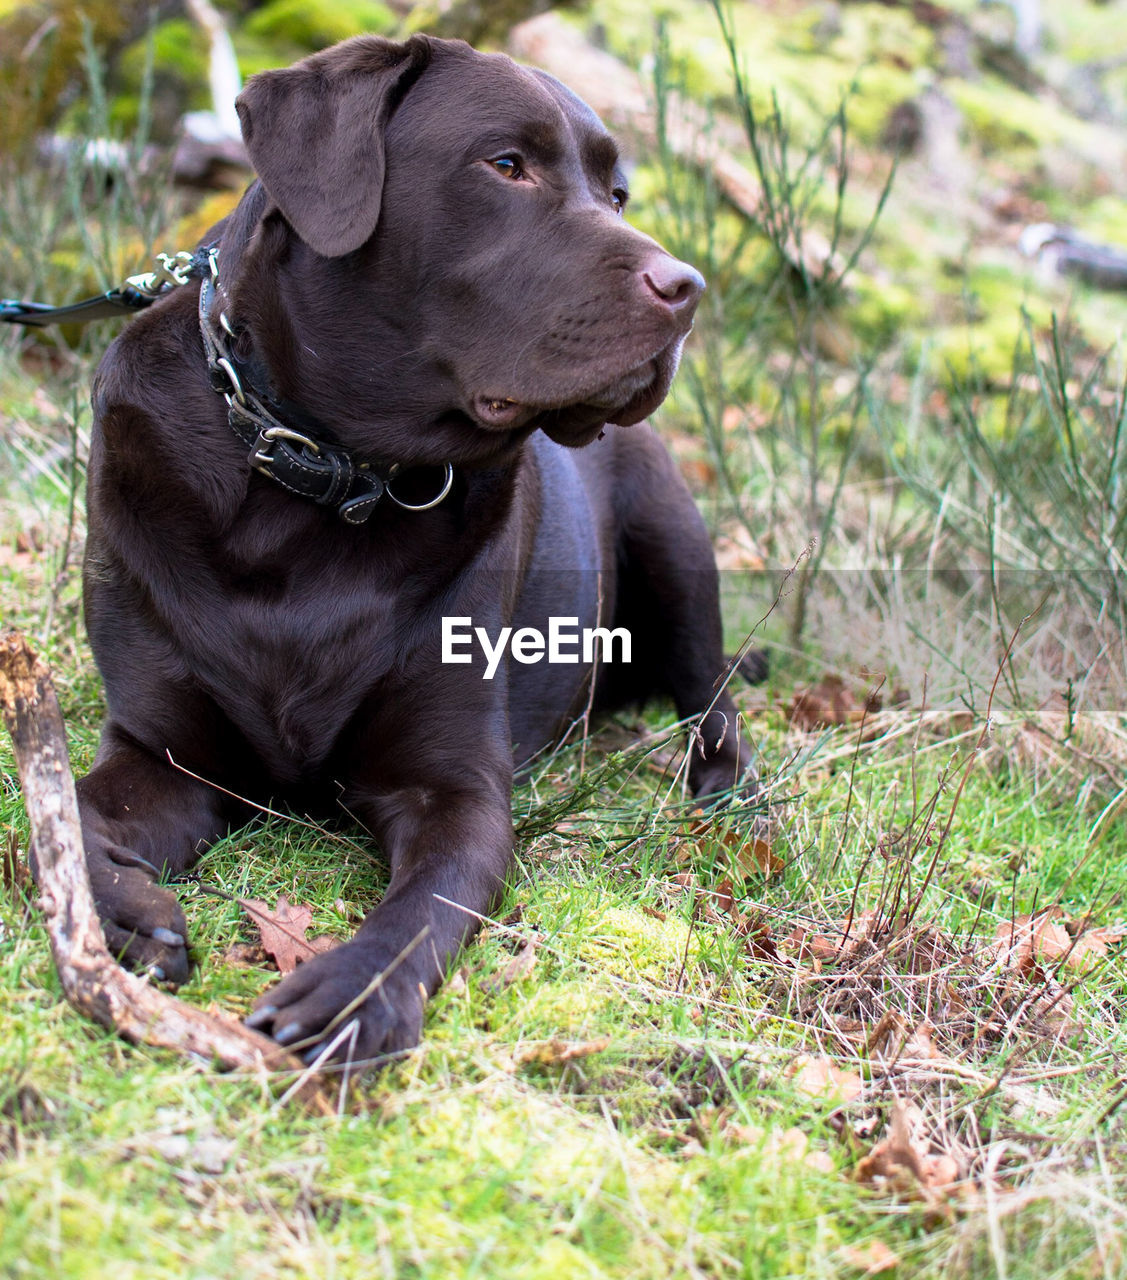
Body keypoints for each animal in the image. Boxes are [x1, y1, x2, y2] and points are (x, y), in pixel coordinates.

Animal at [79, 35, 753, 1064]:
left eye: (617, 195)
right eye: (505, 165)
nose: (686, 291)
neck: (318, 479)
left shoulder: (453, 789)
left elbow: (423, 907)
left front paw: (353, 996)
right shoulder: (159, 755)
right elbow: (54, 813)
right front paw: (124, 913)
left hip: (674, 540)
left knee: (711, 692)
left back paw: (725, 788)